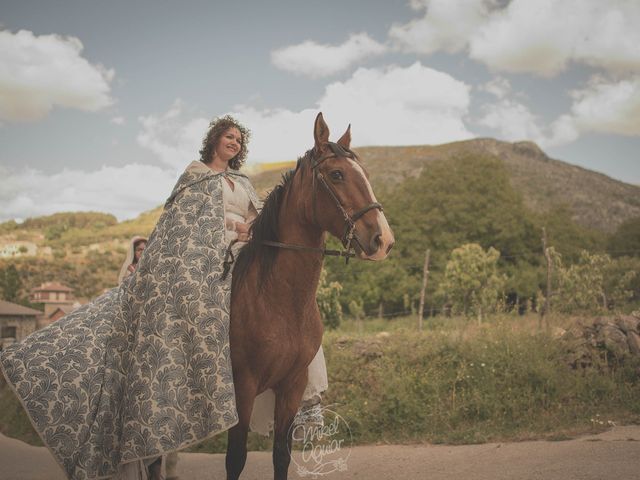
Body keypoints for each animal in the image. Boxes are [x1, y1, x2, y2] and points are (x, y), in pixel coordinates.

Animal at [228, 113, 392, 480]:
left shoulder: (292, 385)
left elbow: (281, 454)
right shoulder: (242, 387)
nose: (384, 240)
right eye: (337, 174)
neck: (276, 301)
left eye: (366, 174)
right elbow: (236, 457)